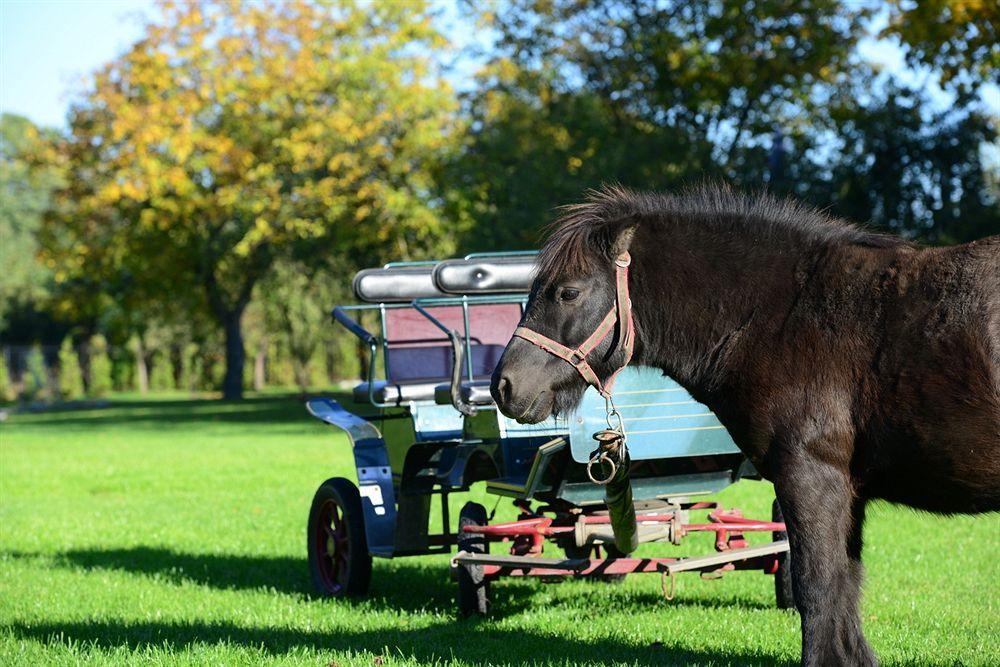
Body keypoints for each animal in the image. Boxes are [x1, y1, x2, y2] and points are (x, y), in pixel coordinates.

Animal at [494, 184, 1000, 667]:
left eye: (568, 292)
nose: (504, 386)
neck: (785, 316)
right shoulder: (846, 492)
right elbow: (844, 588)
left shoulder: (811, 478)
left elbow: (817, 587)